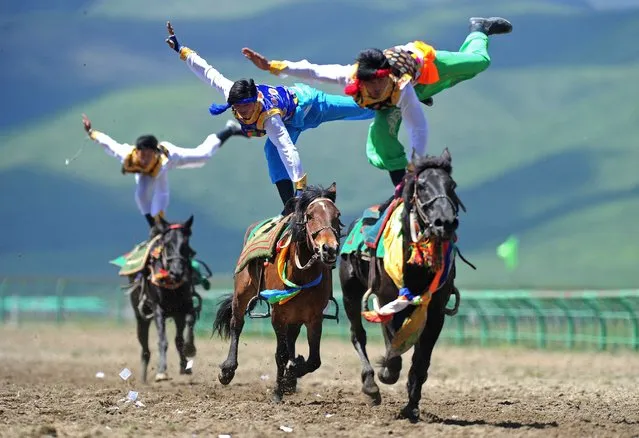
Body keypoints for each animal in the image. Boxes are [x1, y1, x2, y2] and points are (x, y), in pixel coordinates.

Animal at [127, 216, 201, 384]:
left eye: (186, 244)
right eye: (167, 244)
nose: (177, 272)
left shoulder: (185, 307)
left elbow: (187, 328)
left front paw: (189, 351)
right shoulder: (158, 309)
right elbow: (163, 340)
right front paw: (161, 372)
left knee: (178, 339)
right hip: (141, 317)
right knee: (145, 348)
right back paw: (143, 378)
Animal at [214, 183, 344, 402]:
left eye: (337, 215)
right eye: (310, 215)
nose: (329, 249)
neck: (300, 274)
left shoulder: (314, 317)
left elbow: (314, 360)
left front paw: (291, 375)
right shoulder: (278, 314)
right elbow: (280, 354)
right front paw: (278, 390)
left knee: (291, 339)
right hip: (242, 292)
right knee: (236, 324)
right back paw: (228, 370)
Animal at [342, 149, 472, 422]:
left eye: (452, 185)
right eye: (421, 186)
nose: (445, 222)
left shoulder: (434, 309)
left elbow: (421, 361)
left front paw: (411, 405)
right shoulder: (390, 298)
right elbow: (394, 353)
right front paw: (386, 373)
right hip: (351, 293)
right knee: (358, 334)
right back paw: (371, 385)